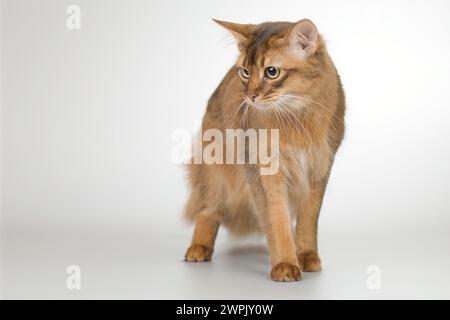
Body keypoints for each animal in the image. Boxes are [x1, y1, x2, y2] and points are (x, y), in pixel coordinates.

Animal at [183, 18, 344, 282]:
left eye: (272, 71)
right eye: (245, 72)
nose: (250, 96)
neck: (294, 116)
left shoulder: (319, 169)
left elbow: (308, 219)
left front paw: (307, 256)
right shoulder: (262, 169)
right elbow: (276, 218)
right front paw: (285, 263)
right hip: (215, 169)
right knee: (209, 208)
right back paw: (199, 247)